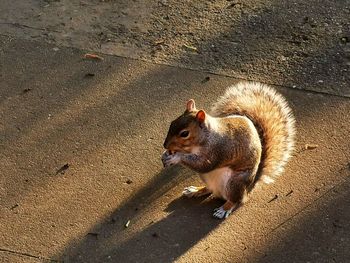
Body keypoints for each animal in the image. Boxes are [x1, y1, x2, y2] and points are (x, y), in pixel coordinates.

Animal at [161, 81, 296, 220]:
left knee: (235, 200)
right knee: (210, 189)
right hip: (208, 179)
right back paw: (196, 190)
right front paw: (166, 155)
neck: (206, 137)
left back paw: (224, 209)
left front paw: (176, 157)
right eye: (172, 123)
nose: (165, 145)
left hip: (234, 183)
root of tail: (248, 189)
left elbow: (204, 165)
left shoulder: (219, 150)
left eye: (184, 133)